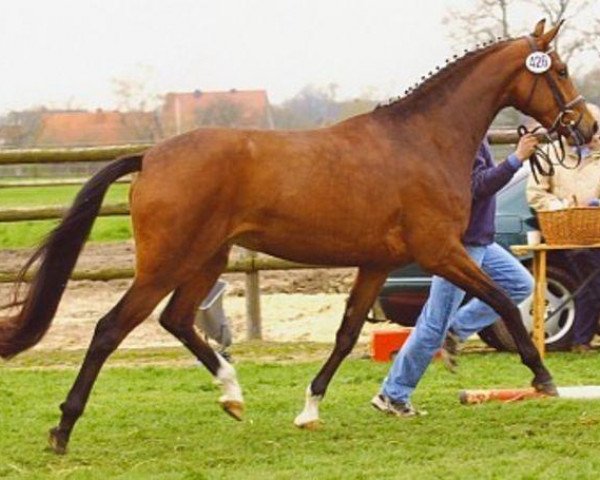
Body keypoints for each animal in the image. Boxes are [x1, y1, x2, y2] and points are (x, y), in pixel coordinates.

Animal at [0, 19, 596, 454]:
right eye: (561, 69)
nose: (585, 126)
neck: (422, 140)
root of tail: (150, 156)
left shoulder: (377, 262)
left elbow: (347, 333)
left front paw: (309, 409)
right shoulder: (439, 251)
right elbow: (503, 300)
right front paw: (543, 377)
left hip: (209, 258)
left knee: (177, 320)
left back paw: (233, 396)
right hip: (167, 261)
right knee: (110, 328)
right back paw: (63, 430)